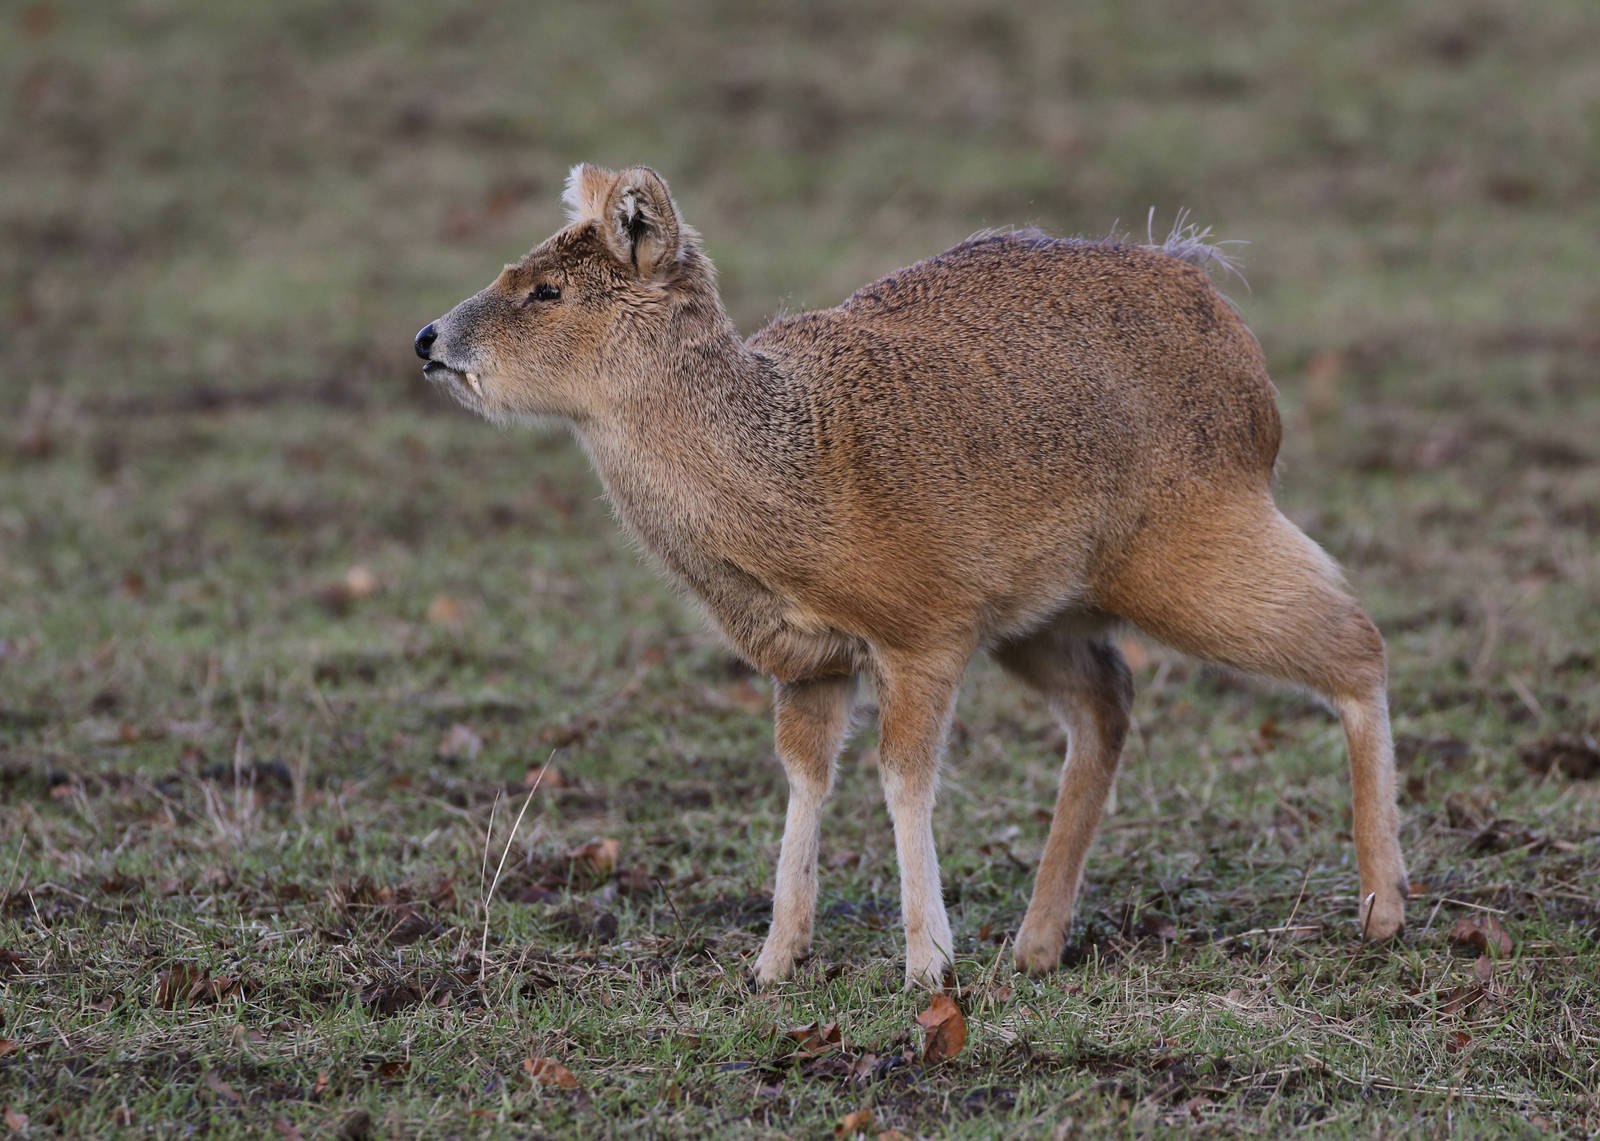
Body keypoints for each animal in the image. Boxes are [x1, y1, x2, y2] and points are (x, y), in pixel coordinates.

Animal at [414, 164, 1407, 989]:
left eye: (547, 288)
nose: (426, 338)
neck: (791, 479)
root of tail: (1221, 309)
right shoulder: (809, 660)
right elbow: (806, 775)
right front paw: (775, 958)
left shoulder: (924, 631)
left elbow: (903, 777)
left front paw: (927, 960)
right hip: (1044, 614)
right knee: (1110, 699)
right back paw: (1037, 942)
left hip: (1193, 542)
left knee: (1358, 642)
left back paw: (1383, 906)